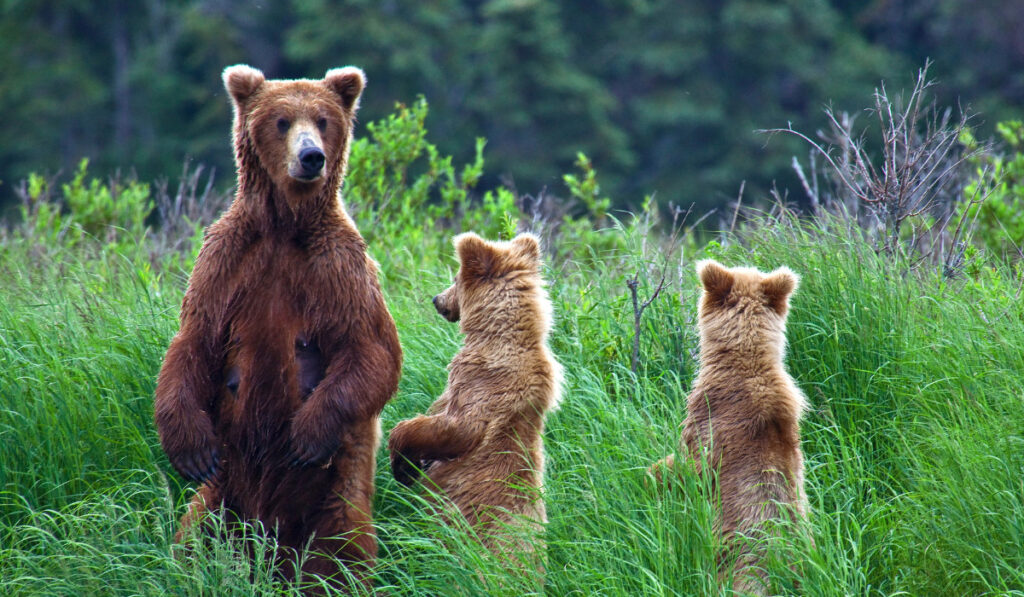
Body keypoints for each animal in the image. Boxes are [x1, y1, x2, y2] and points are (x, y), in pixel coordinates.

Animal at [153, 64, 401, 589]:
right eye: (282, 120)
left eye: (323, 120)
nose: (311, 157)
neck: (286, 226)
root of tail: (271, 553)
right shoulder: (227, 261)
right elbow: (193, 342)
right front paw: (189, 448)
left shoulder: (338, 268)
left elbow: (371, 351)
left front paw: (307, 434)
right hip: (223, 495)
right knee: (194, 535)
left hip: (332, 498)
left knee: (341, 550)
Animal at [385, 232, 561, 565]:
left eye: (455, 278)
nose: (437, 299)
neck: (495, 336)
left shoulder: (483, 384)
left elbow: (456, 427)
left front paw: (403, 464)